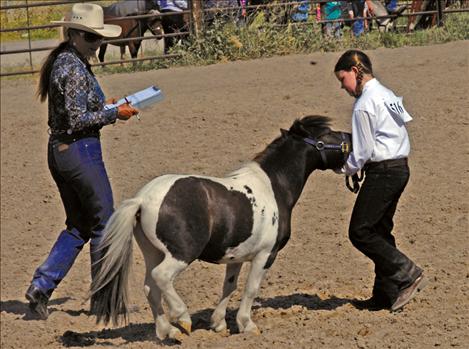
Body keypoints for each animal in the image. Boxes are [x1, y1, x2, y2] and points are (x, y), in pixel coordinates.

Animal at [89, 115, 350, 338]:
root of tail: (142, 199)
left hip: (153, 252)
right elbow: (251, 289)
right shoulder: (266, 254)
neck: (274, 187)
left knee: (150, 288)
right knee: (161, 277)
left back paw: (168, 331)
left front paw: (219, 324)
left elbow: (229, 287)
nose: (349, 138)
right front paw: (247, 325)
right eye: (327, 133)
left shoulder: (236, 257)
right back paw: (182, 318)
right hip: (181, 254)